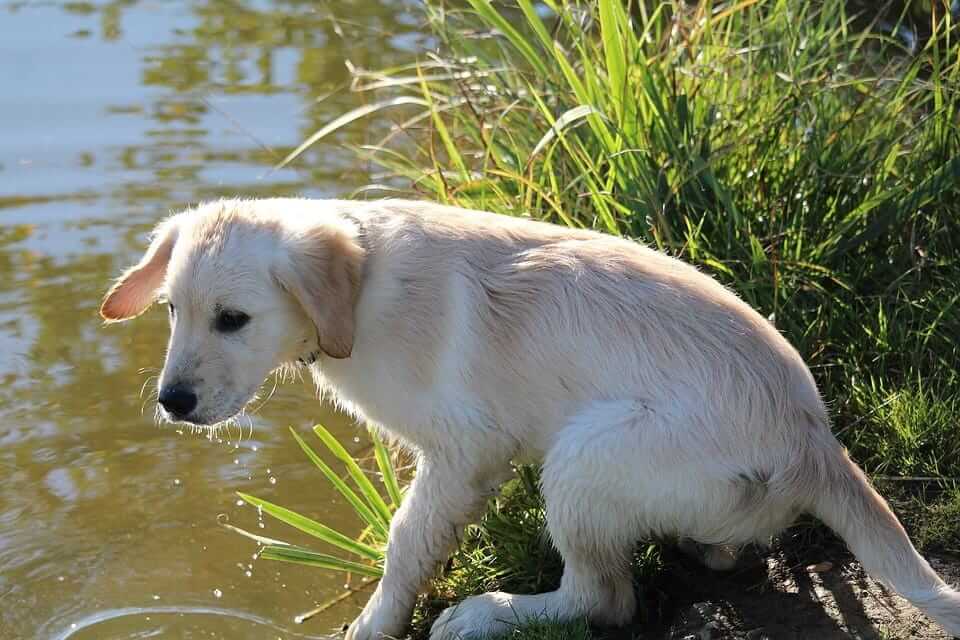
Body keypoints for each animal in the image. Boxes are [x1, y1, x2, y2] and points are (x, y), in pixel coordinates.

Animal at [103, 198, 960, 636]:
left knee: (601, 599)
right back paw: (707, 543)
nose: (171, 404)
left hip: (585, 457)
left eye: (233, 320)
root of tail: (815, 443)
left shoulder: (465, 453)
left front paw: (377, 623)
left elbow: (406, 545)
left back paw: (487, 613)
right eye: (173, 310)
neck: (364, 293)